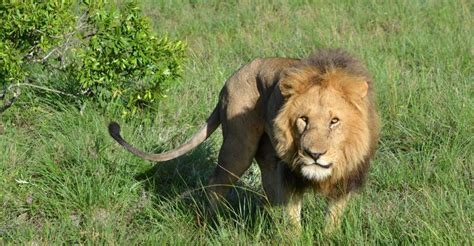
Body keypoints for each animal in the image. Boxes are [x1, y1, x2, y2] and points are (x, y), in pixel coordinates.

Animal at [109, 48, 380, 233]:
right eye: (303, 119)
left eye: (334, 121)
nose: (314, 154)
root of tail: (230, 79)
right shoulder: (290, 174)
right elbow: (294, 218)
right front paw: (294, 236)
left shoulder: (346, 178)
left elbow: (332, 217)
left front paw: (326, 235)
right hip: (238, 147)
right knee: (216, 183)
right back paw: (214, 223)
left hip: (267, 154)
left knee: (269, 189)